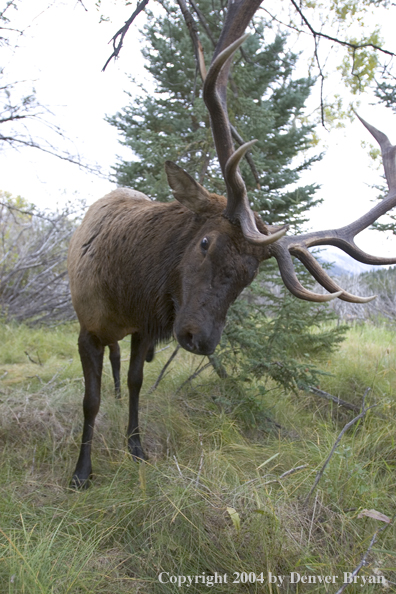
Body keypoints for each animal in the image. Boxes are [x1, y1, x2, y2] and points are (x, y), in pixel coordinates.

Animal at [69, 23, 396, 488]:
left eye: (250, 274)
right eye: (205, 242)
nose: (200, 338)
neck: (124, 291)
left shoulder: (144, 330)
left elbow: (135, 384)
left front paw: (136, 449)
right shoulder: (87, 327)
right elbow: (89, 401)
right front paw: (81, 472)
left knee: (120, 369)